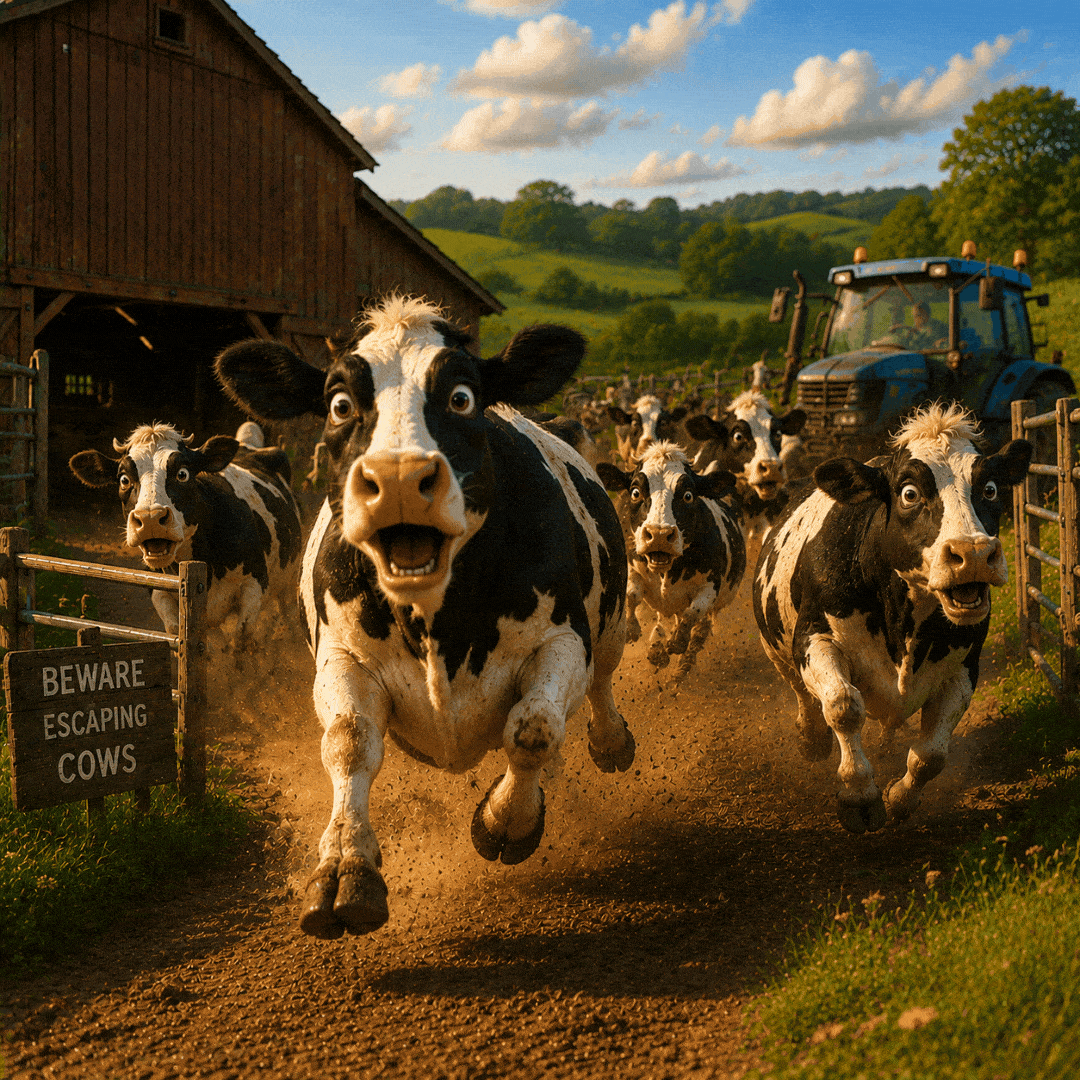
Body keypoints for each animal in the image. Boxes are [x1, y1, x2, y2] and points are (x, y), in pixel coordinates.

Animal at [69, 422, 303, 653]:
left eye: (183, 474)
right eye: (124, 479)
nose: (150, 518)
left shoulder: (255, 583)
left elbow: (242, 639)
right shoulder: (159, 591)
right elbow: (182, 633)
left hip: (290, 582)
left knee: (289, 613)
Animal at [213, 296, 636, 939]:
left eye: (461, 396)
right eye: (340, 403)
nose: (398, 479)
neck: (438, 622)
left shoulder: (564, 638)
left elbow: (533, 729)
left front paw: (506, 819)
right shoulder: (343, 656)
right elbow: (349, 742)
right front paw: (344, 868)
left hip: (607, 626)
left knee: (602, 683)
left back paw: (610, 743)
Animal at [597, 443, 746, 682]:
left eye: (688, 495)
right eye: (635, 492)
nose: (659, 534)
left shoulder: (710, 588)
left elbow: (693, 613)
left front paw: (677, 642)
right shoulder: (632, 567)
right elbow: (632, 595)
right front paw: (633, 630)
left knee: (700, 629)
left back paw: (681, 666)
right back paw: (658, 647)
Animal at [752, 403, 1031, 833]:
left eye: (990, 488)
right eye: (909, 493)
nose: (972, 554)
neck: (903, 619)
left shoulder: (964, 666)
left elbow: (932, 755)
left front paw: (900, 798)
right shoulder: (815, 638)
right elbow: (843, 706)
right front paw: (859, 795)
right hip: (778, 649)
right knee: (803, 695)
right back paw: (812, 737)